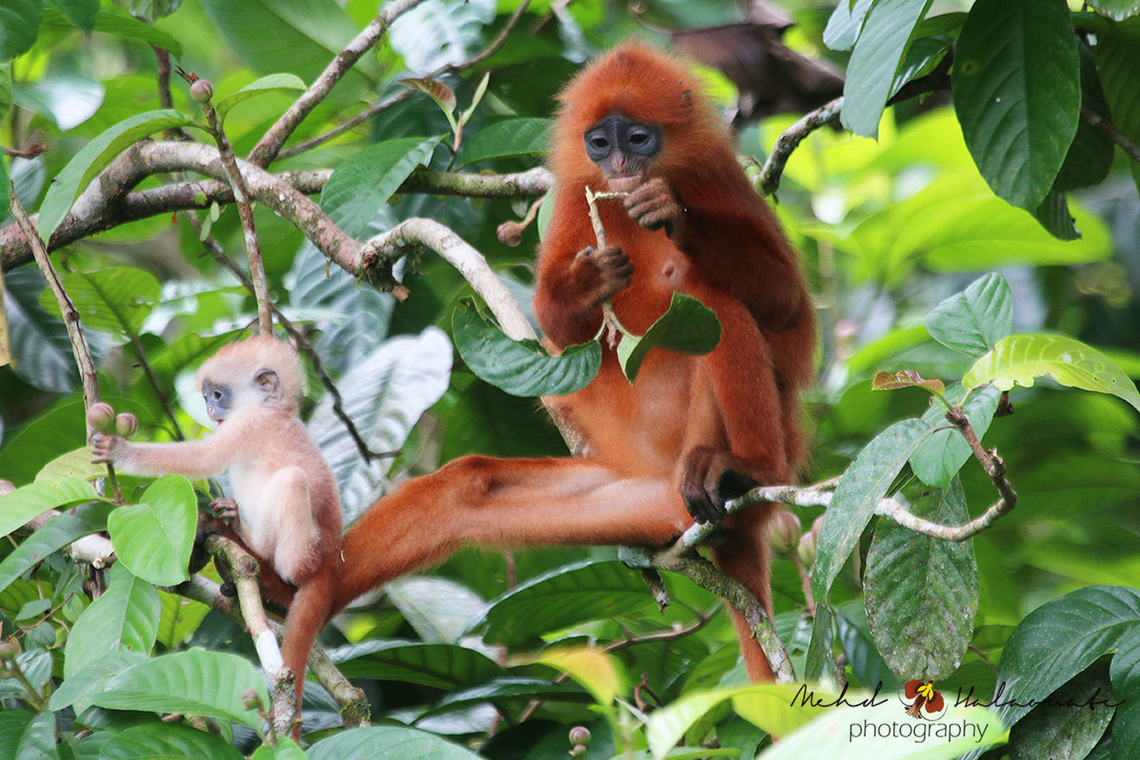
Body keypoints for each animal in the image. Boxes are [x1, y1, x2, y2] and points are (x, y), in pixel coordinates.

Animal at [90, 335, 343, 727]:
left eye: (218, 394)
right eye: (207, 395)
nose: (209, 408)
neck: (275, 411)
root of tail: (329, 562)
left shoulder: (247, 423)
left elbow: (204, 458)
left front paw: (120, 451)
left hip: (304, 551)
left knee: (291, 482)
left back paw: (256, 560)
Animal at [329, 42, 815, 681]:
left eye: (638, 138)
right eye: (600, 144)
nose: (622, 165)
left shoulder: (721, 180)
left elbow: (784, 300)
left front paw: (673, 212)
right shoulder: (571, 200)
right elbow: (559, 323)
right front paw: (586, 284)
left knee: (717, 303)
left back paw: (746, 470)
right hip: (639, 498)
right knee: (465, 491)